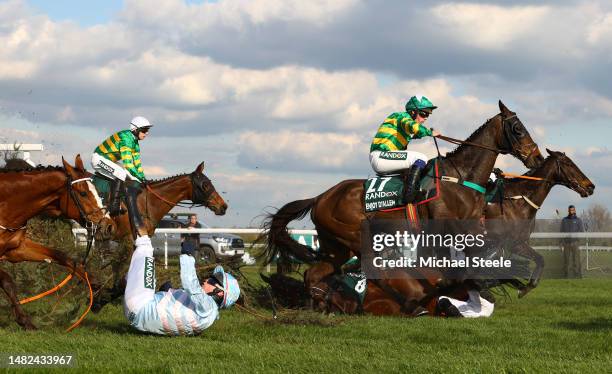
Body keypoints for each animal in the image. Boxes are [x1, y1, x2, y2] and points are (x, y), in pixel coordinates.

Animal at [0, 155, 116, 328]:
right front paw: (24, 320)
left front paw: (94, 283)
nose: (108, 225)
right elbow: (7, 280)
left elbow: (62, 256)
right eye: (83, 193)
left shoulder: (16, 249)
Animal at [260, 101, 544, 290]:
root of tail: (320, 197)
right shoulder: (448, 230)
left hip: (336, 246)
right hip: (354, 236)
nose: (537, 158)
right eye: (517, 128)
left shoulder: (472, 228)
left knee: (315, 275)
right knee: (366, 266)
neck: (460, 177)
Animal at [482, 148, 592, 296]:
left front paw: (524, 287)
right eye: (569, 163)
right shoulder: (505, 242)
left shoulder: (517, 243)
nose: (591, 186)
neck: (517, 201)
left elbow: (540, 259)